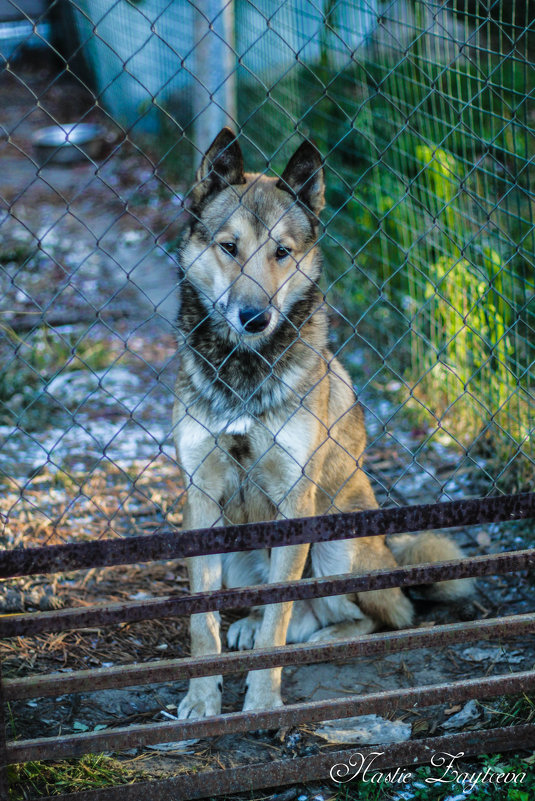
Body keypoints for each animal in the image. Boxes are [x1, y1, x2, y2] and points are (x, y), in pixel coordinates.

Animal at [173, 130, 474, 720]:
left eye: (282, 253)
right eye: (229, 247)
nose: (255, 318)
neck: (246, 371)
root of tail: (392, 558)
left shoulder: (296, 499)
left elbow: (279, 618)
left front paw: (264, 700)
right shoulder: (201, 498)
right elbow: (202, 624)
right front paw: (201, 700)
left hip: (335, 545)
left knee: (378, 616)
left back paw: (323, 639)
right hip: (240, 553)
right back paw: (248, 627)